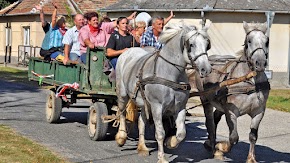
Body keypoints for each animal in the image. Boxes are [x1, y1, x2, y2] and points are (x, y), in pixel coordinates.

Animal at [114, 22, 212, 163]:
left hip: (144, 103)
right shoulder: (157, 107)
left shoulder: (180, 107)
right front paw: (162, 157)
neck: (170, 73)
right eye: (191, 44)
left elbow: (181, 133)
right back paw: (121, 137)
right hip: (123, 94)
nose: (206, 69)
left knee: (141, 122)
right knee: (121, 113)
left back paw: (142, 147)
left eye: (207, 44)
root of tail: (128, 51)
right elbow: (160, 133)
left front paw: (170, 142)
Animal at [195, 21, 270, 162]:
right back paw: (211, 144)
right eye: (249, 41)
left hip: (220, 103)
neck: (251, 81)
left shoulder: (259, 112)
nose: (260, 63)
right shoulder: (231, 111)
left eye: (267, 41)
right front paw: (221, 148)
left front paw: (251, 158)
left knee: (215, 118)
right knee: (210, 122)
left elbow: (253, 136)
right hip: (206, 100)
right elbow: (233, 137)